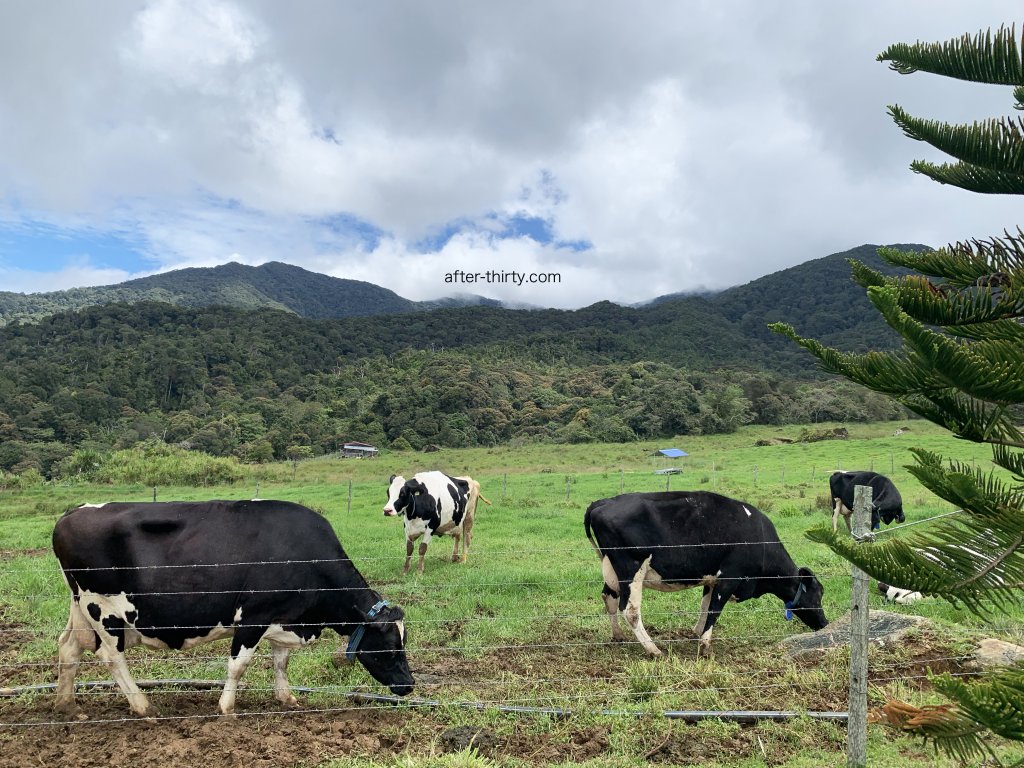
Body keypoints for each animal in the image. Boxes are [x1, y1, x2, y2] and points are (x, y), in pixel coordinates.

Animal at [50, 501, 411, 720]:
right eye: (391, 648)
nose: (409, 686)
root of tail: (71, 513)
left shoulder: (284, 618)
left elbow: (281, 661)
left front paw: (287, 699)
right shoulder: (253, 617)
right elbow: (238, 666)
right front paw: (227, 708)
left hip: (81, 609)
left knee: (68, 648)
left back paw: (68, 706)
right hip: (105, 610)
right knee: (112, 658)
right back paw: (142, 705)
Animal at [581, 493, 827, 655]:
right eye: (818, 595)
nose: (824, 623)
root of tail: (602, 502)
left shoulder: (712, 577)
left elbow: (704, 605)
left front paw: (696, 633)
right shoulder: (730, 576)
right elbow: (714, 610)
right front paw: (705, 645)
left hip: (611, 569)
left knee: (609, 597)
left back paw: (618, 636)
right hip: (631, 568)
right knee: (630, 609)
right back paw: (654, 650)